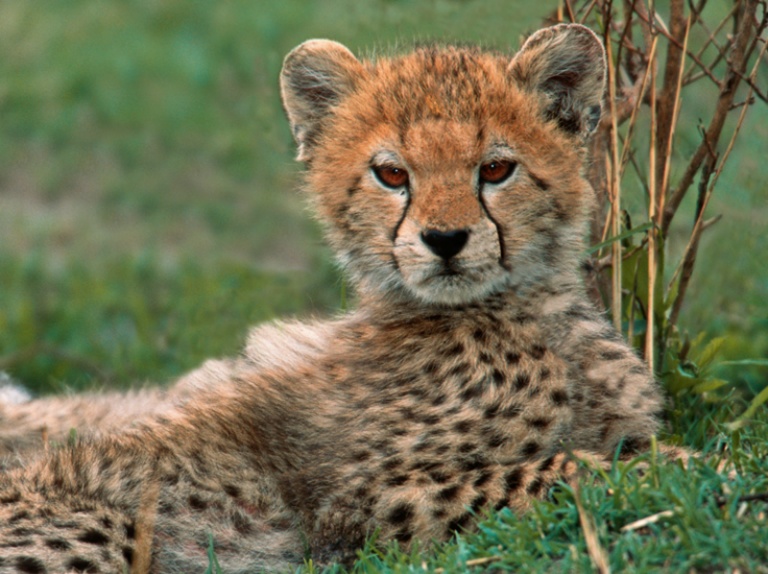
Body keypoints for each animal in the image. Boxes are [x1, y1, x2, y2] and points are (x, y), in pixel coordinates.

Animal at [0, 24, 682, 573]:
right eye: (392, 174)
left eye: (495, 169)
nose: (445, 240)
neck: (520, 314)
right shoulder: (358, 509)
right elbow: (564, 467)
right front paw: (680, 465)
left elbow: (596, 452)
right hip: (109, 523)